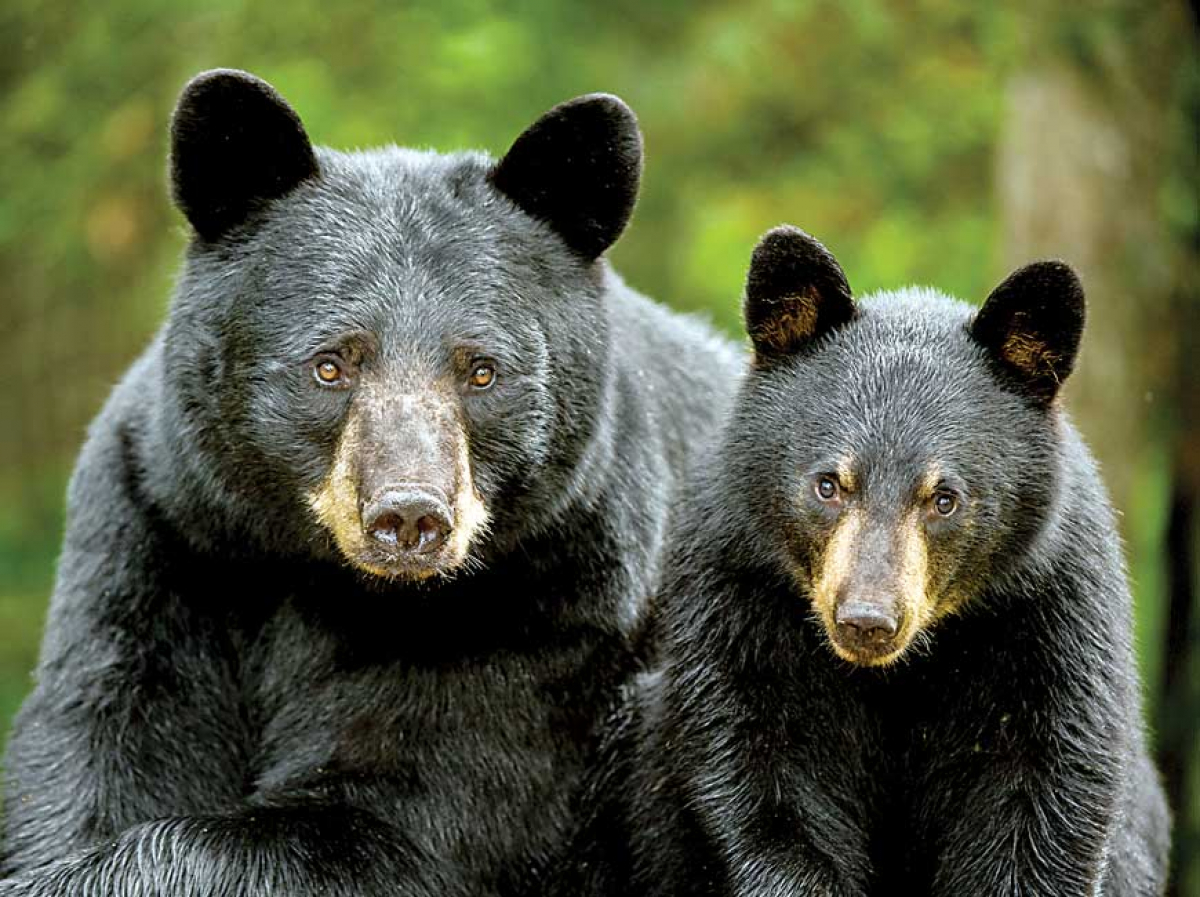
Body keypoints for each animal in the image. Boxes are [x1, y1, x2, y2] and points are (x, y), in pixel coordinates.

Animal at [0, 69, 742, 896]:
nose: (411, 516)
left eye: (481, 369)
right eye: (332, 363)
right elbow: (108, 739)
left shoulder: (551, 605)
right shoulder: (164, 535)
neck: (324, 578)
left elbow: (396, 816)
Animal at [557, 225, 1171, 896]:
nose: (867, 620)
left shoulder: (1045, 618)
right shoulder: (744, 598)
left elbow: (1039, 801)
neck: (897, 673)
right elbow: (767, 777)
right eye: (829, 484)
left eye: (944, 498)